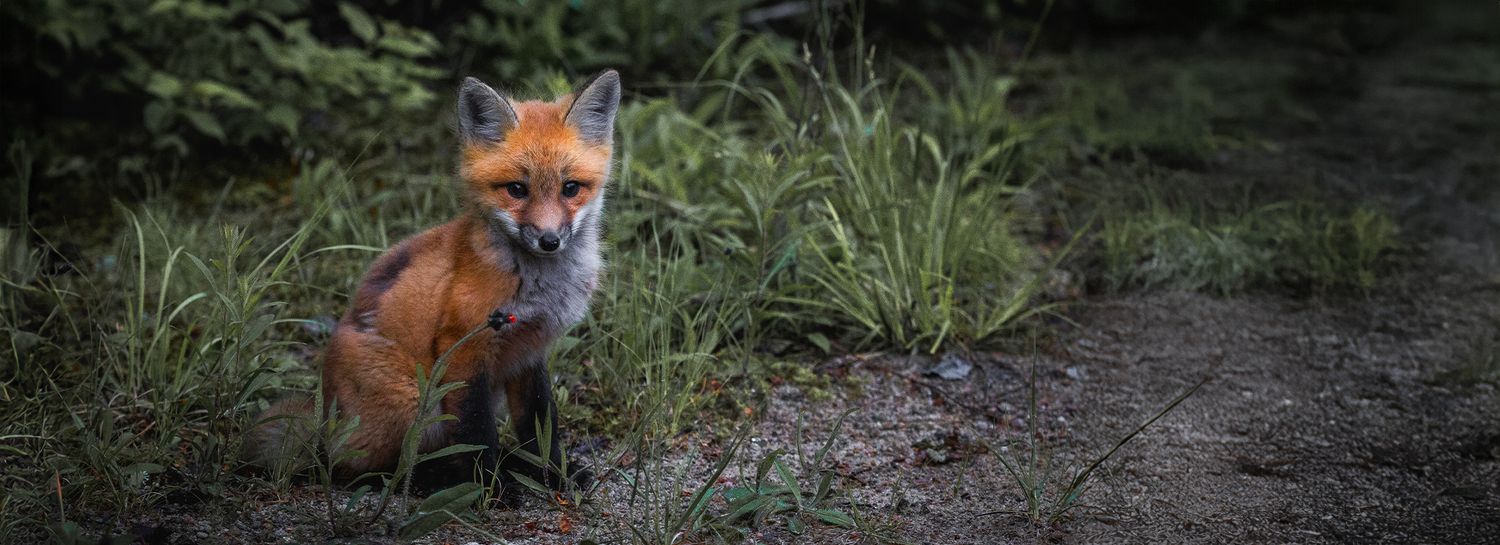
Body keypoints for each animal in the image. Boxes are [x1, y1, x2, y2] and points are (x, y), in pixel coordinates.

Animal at [245, 70, 621, 492]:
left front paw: (552, 474)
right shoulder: (463, 348)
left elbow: (540, 427)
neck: (539, 287)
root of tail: (324, 421)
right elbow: (477, 433)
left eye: (570, 188)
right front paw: (489, 490)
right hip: (415, 403)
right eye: (516, 189)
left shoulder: (530, 352)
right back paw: (440, 478)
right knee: (362, 470)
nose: (550, 240)